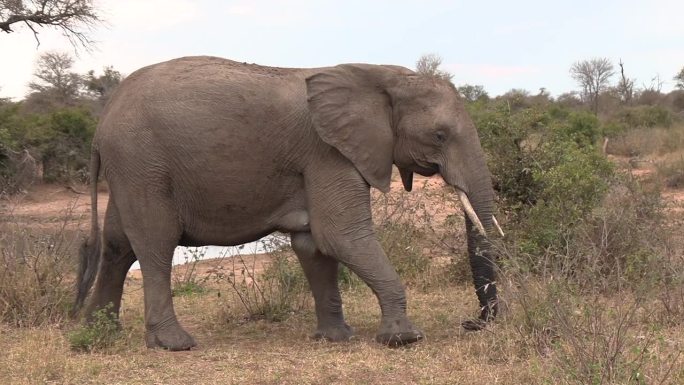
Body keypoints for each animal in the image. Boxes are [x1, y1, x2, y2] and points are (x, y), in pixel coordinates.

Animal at [75, 56, 500, 348]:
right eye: (440, 136)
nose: (473, 323)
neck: (379, 74)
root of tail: (101, 123)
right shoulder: (327, 153)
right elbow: (342, 236)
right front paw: (403, 339)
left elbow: (313, 244)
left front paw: (336, 337)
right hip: (142, 162)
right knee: (156, 244)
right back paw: (174, 344)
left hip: (130, 168)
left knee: (117, 246)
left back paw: (99, 333)